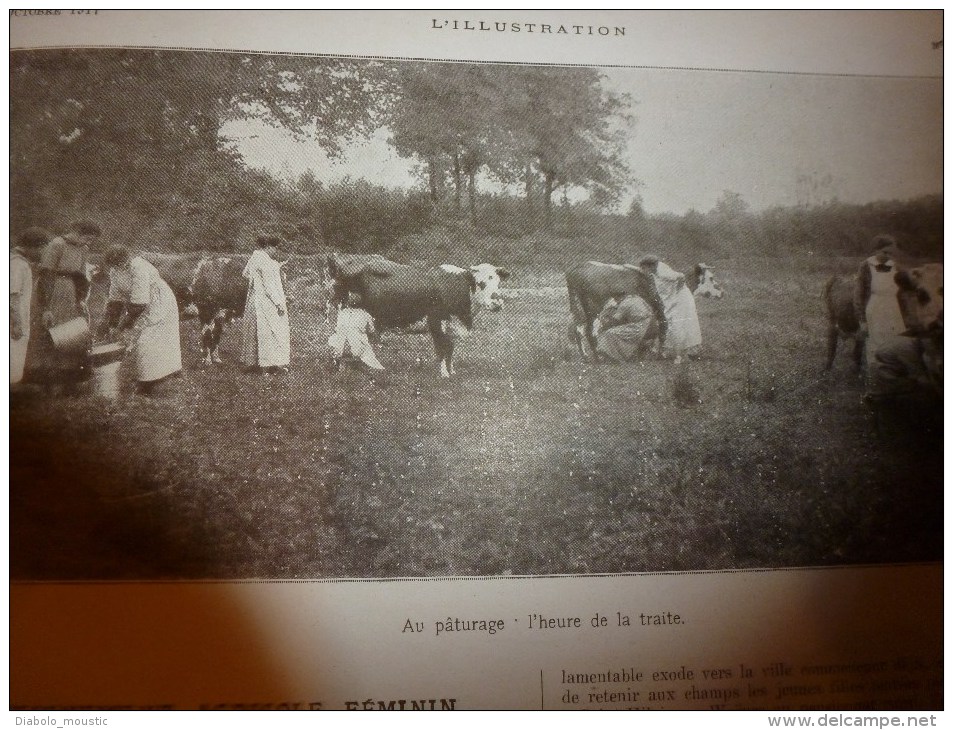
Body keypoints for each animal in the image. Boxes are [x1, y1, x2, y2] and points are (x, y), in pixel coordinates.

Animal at [326, 252, 510, 376]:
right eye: (481, 283)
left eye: (498, 282)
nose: (497, 303)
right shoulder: (436, 321)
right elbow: (442, 348)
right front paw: (444, 374)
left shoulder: (451, 325)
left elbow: (450, 349)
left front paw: (452, 371)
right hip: (347, 312)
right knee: (338, 340)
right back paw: (338, 366)